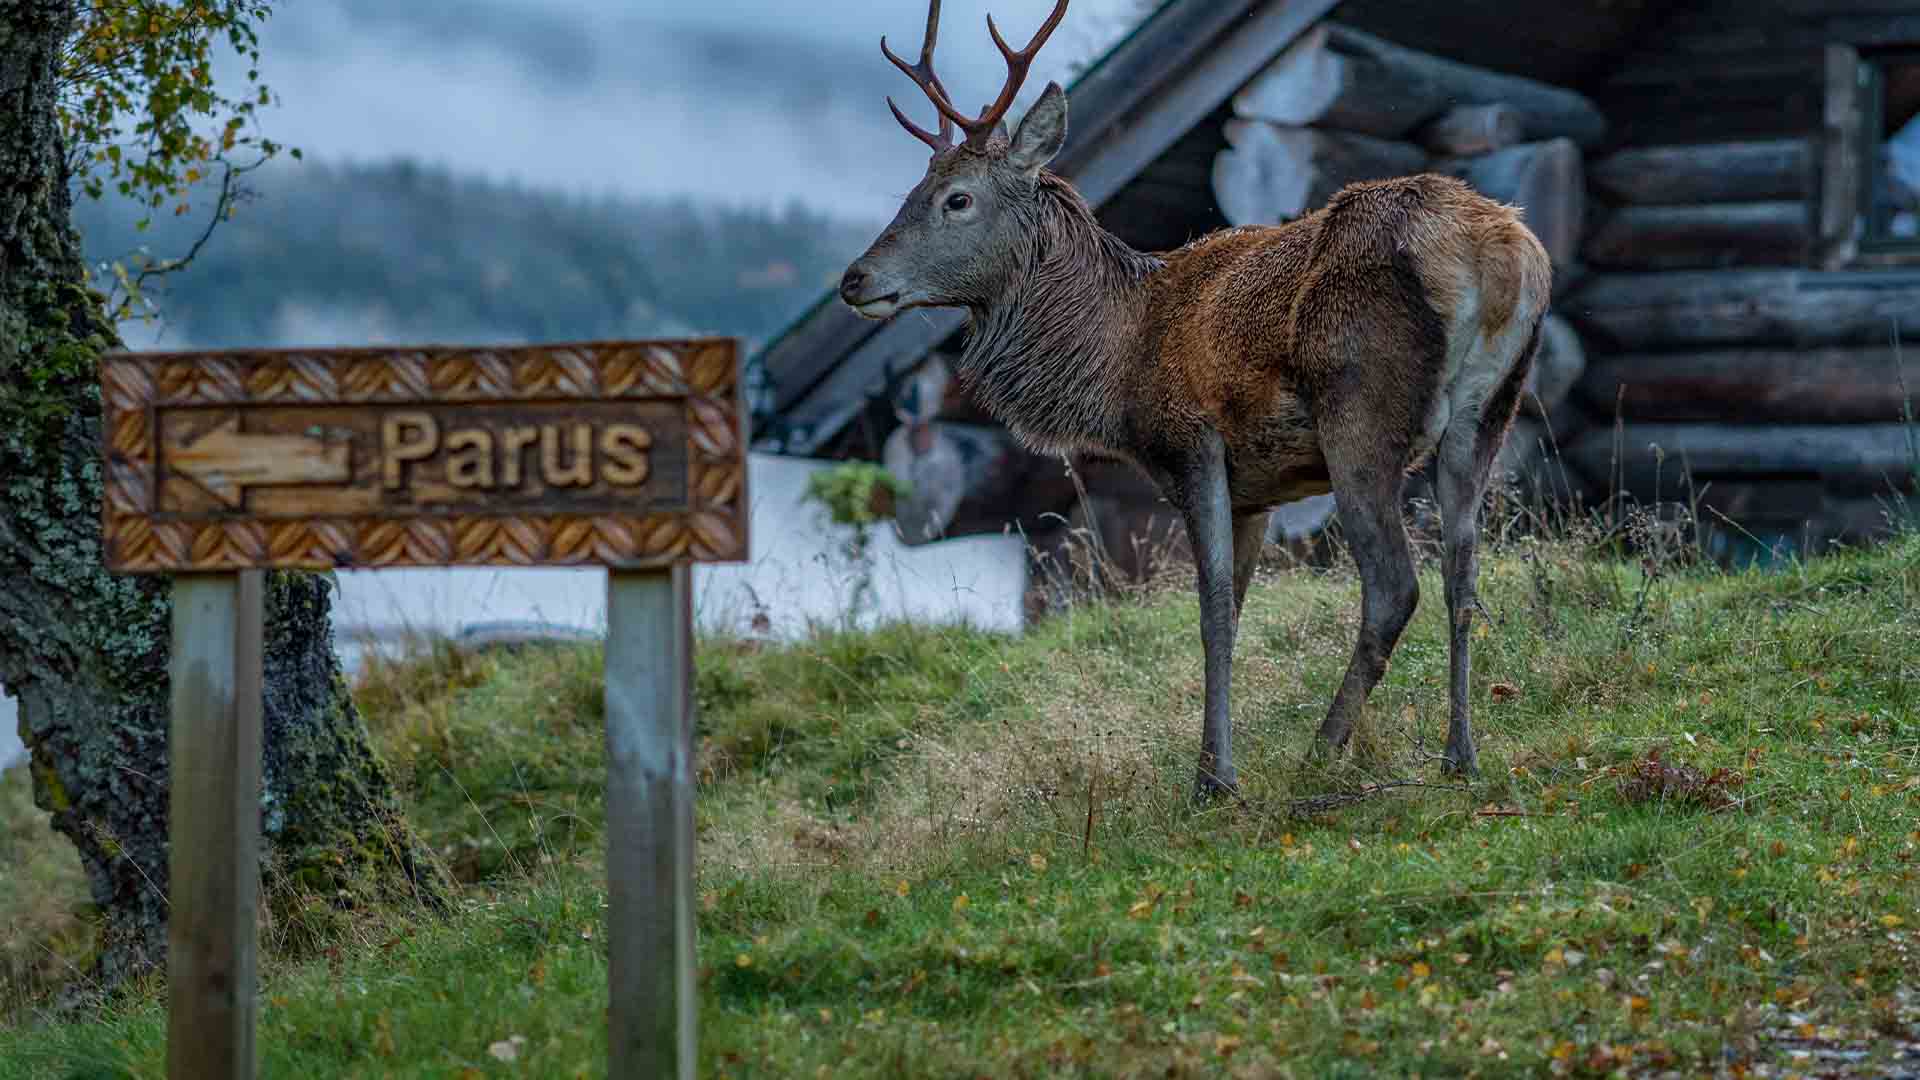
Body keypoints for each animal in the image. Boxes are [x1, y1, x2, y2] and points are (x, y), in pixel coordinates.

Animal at [833, 0, 1551, 791]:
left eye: (956, 199)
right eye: (909, 191)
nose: (855, 279)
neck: (1116, 364)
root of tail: (1499, 250)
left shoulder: (1191, 441)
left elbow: (1208, 611)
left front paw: (1213, 778)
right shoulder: (1259, 488)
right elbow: (1234, 608)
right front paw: (1213, 760)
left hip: (1359, 404)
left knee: (1396, 585)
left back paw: (1321, 750)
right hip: (1491, 409)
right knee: (1463, 572)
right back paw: (1461, 755)